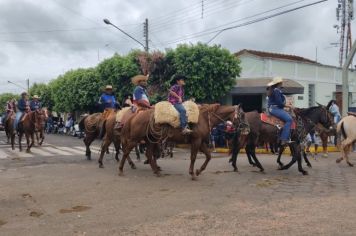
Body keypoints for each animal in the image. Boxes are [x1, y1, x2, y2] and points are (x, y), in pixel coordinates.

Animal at [118, 104, 249, 180]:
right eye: (242, 114)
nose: (247, 128)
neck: (203, 118)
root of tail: (135, 116)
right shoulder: (196, 141)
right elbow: (193, 157)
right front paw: (192, 173)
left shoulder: (201, 142)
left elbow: (208, 156)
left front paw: (198, 171)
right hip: (135, 139)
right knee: (126, 151)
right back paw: (121, 170)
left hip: (151, 140)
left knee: (149, 154)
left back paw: (156, 171)